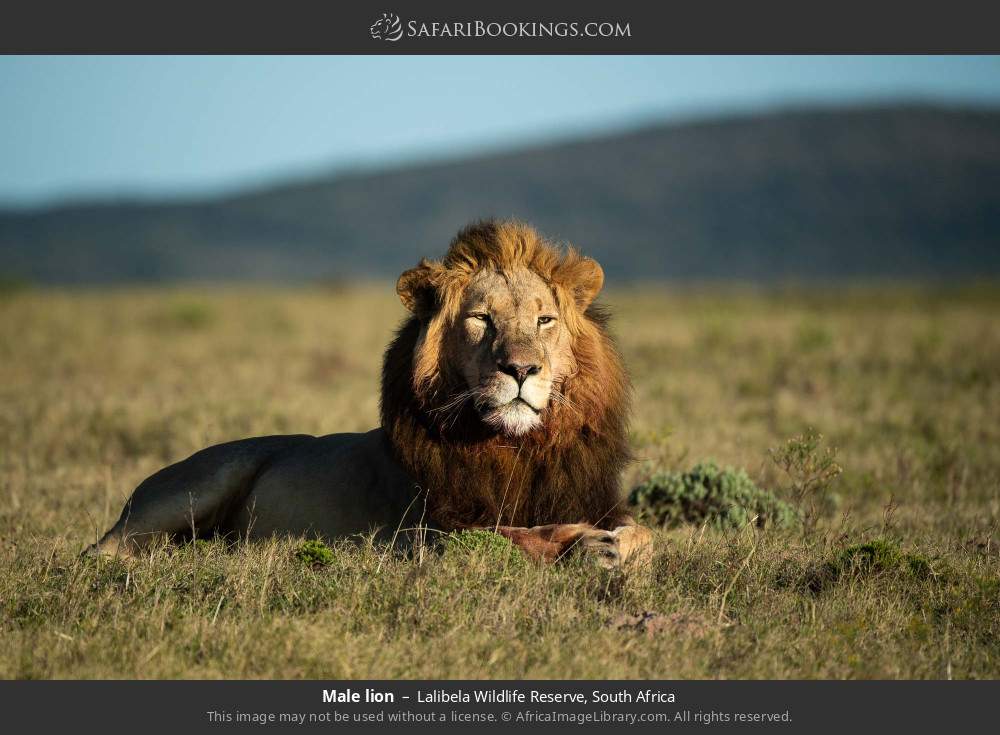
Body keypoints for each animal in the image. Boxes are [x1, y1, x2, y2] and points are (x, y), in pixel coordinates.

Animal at [88, 220, 652, 566]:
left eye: (544, 320)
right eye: (481, 319)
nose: (520, 368)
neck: (517, 449)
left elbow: (646, 534)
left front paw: (615, 545)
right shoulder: (420, 534)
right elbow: (505, 535)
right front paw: (585, 544)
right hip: (197, 485)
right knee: (101, 550)